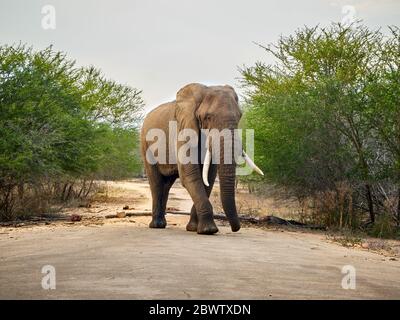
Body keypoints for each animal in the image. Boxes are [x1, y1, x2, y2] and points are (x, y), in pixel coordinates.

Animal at [141, 83, 262, 235]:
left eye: (239, 116)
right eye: (208, 117)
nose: (236, 228)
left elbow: (208, 177)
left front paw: (194, 228)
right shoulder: (183, 129)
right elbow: (190, 175)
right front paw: (208, 230)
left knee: (166, 184)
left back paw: (161, 223)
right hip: (145, 144)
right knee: (156, 182)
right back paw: (157, 225)